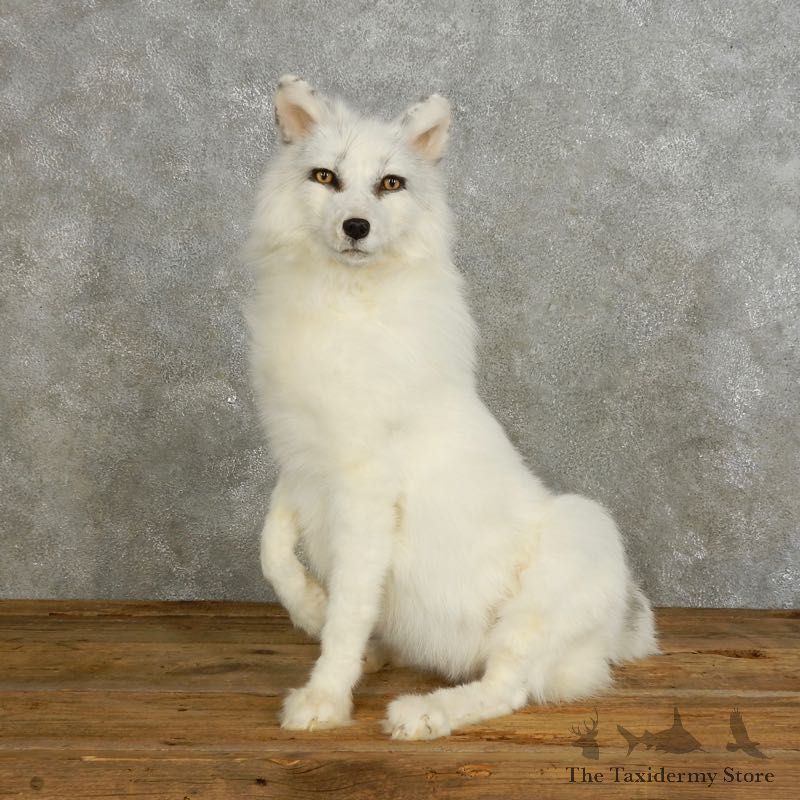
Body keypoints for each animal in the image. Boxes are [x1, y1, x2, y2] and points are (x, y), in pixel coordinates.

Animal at [245, 75, 658, 740]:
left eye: (391, 184)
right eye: (325, 177)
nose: (356, 227)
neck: (345, 301)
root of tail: (614, 636)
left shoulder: (365, 488)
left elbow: (350, 607)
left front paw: (326, 696)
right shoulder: (300, 463)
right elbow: (275, 555)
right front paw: (315, 610)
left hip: (577, 534)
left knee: (507, 688)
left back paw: (425, 713)